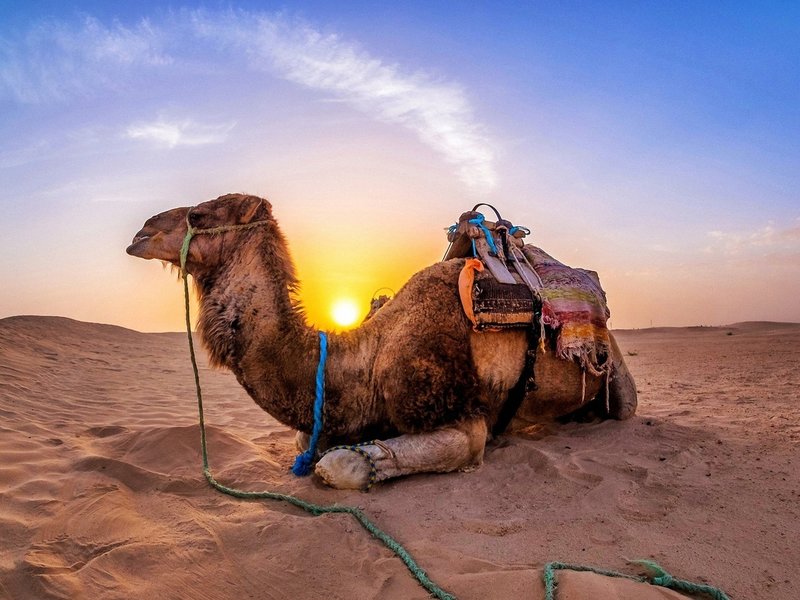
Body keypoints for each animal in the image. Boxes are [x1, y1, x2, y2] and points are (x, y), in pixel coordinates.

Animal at [126, 194, 637, 489]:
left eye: (197, 215)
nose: (140, 233)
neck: (362, 363)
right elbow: (305, 441)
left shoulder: (463, 418)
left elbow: (338, 465)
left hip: (618, 380)